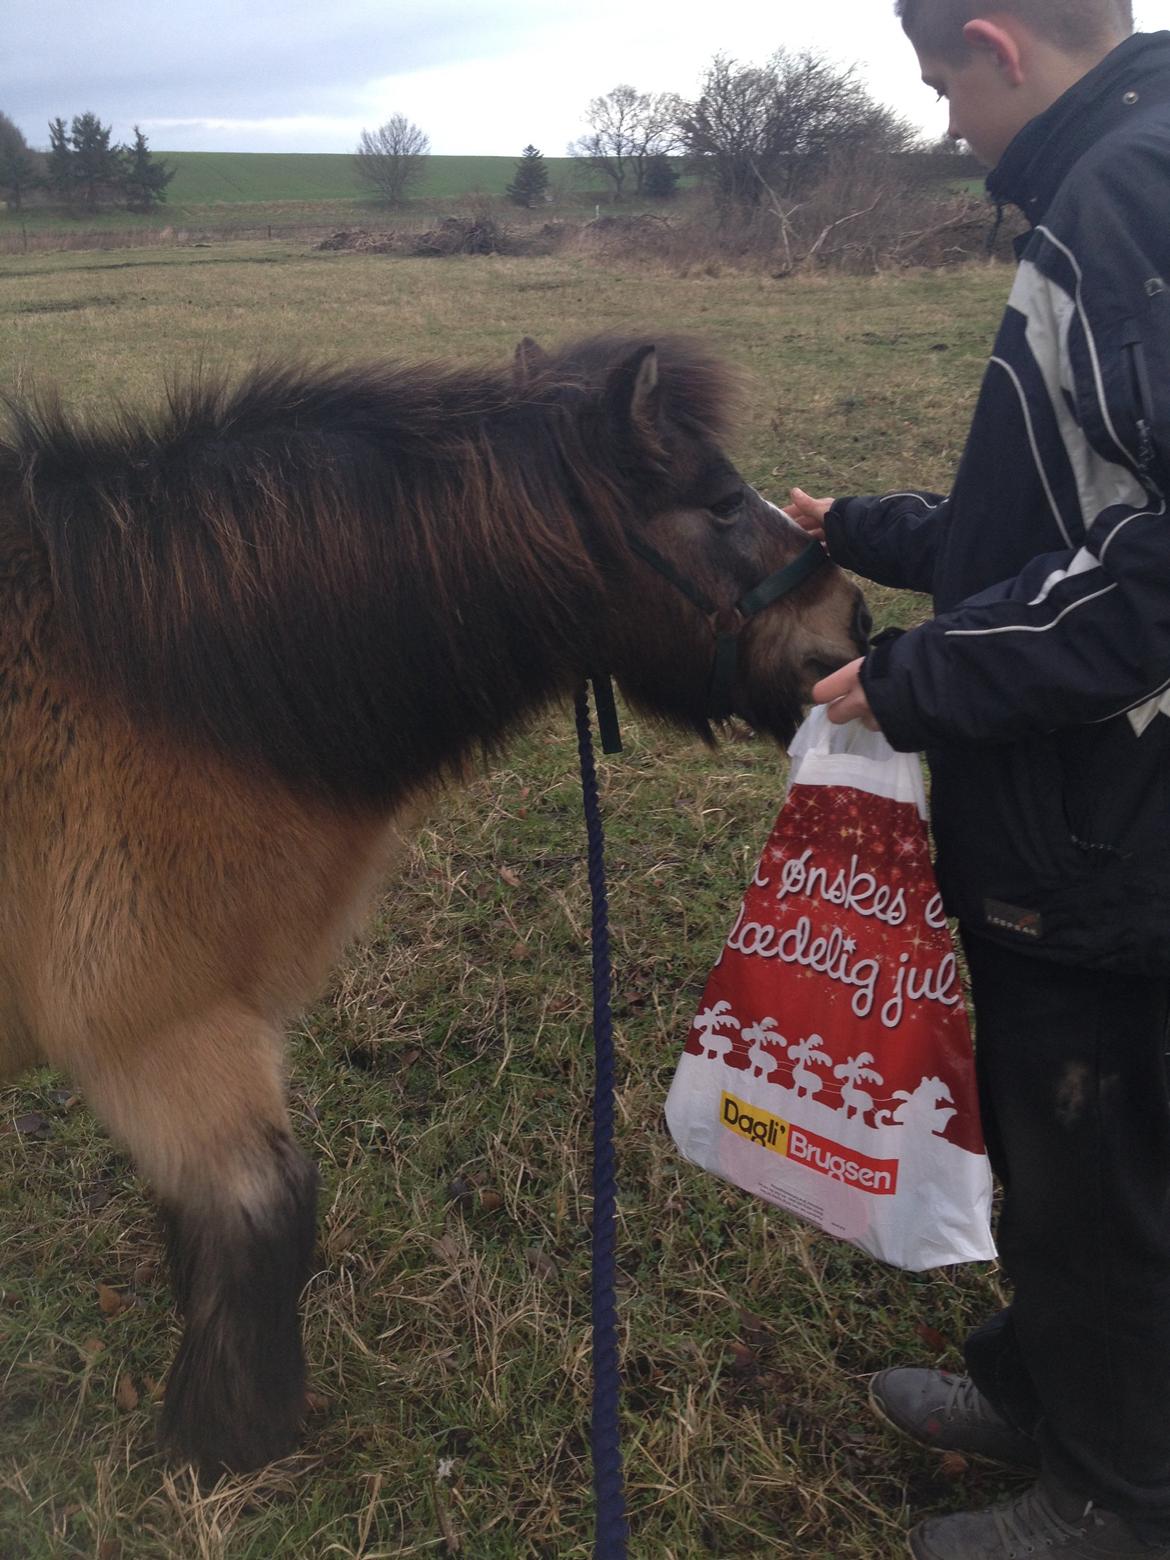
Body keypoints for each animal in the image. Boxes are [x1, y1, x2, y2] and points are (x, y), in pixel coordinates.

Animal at [0, 331, 867, 1477]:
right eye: (722, 502)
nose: (856, 621)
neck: (145, 684)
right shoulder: (159, 1030)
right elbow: (267, 1209)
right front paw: (221, 1443)